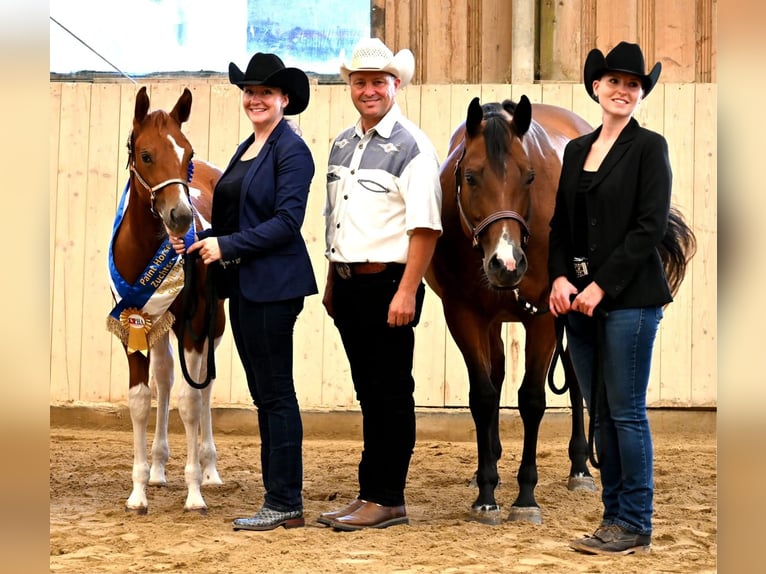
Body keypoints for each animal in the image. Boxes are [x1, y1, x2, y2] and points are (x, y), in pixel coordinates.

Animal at [107, 86, 226, 514]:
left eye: (187, 154)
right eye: (146, 154)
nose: (180, 216)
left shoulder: (195, 320)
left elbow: (191, 401)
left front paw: (194, 492)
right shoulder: (133, 322)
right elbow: (141, 399)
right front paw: (139, 491)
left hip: (213, 323)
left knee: (204, 386)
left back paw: (209, 470)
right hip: (159, 323)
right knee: (165, 375)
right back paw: (158, 468)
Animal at [425, 96, 695, 525]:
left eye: (529, 176)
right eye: (470, 176)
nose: (507, 264)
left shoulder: (544, 318)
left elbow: (532, 399)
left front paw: (525, 497)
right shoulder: (464, 316)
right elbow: (484, 396)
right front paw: (486, 493)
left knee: (579, 382)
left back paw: (581, 468)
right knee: (501, 375)